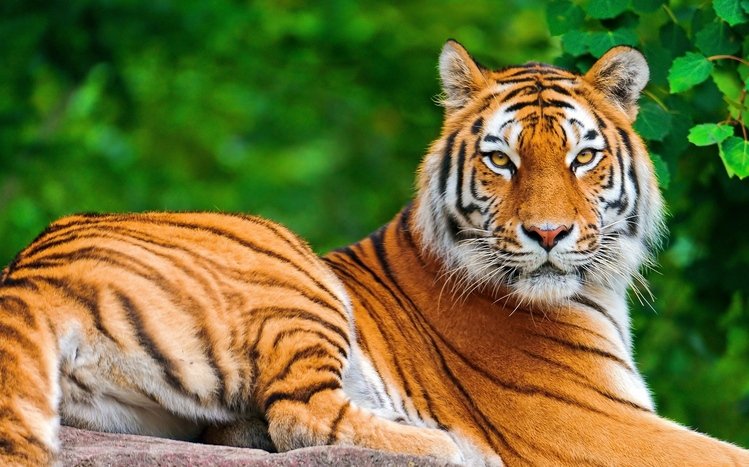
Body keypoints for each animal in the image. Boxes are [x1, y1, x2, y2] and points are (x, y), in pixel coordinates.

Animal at [0, 40, 748, 466]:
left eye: (582, 157)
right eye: (500, 160)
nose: (546, 234)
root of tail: (27, 272)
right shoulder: (594, 423)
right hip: (290, 267)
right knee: (301, 415)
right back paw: (443, 446)